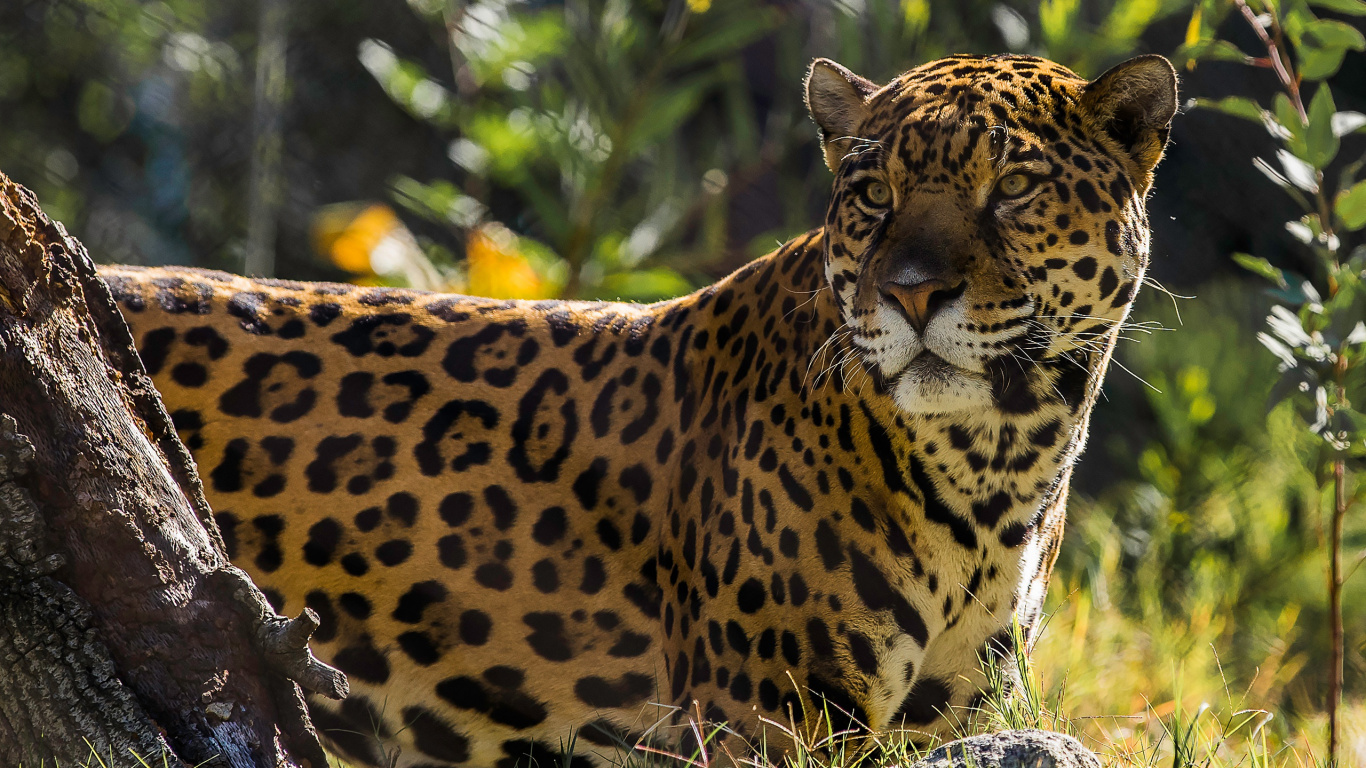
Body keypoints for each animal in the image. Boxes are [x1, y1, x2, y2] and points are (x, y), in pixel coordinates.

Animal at [98, 52, 1177, 767]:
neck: (998, 463)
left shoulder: (950, 723)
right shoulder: (766, 722)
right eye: (872, 191)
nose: (912, 294)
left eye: (1016, 186)